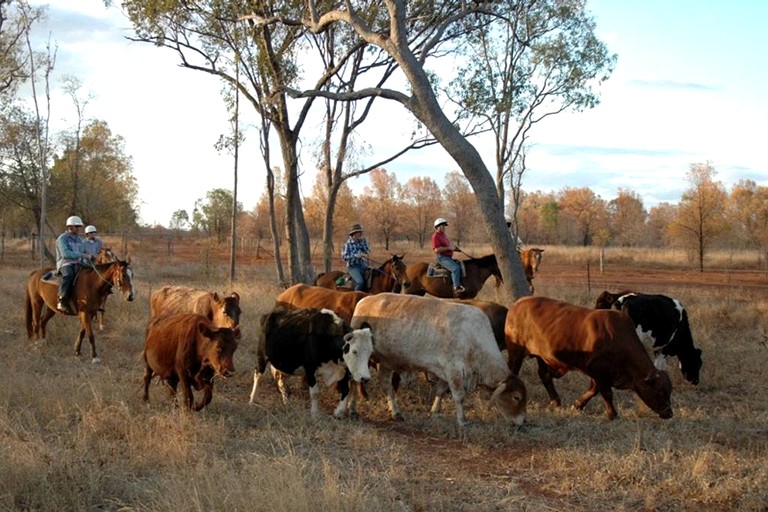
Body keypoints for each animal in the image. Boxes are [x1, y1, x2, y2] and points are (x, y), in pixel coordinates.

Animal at [352, 292, 528, 428]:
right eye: (516, 397)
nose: (523, 422)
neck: (475, 340)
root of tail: (365, 300)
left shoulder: (445, 372)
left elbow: (440, 391)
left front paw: (435, 411)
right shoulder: (454, 370)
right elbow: (459, 396)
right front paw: (462, 421)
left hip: (387, 362)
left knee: (386, 385)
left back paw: (395, 412)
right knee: (364, 382)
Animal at [508, 296, 676, 420]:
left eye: (669, 391)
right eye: (659, 392)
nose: (669, 413)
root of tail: (518, 303)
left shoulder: (601, 374)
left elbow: (594, 391)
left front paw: (578, 405)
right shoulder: (598, 370)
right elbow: (605, 392)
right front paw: (612, 414)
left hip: (542, 356)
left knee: (545, 376)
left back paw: (555, 401)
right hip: (516, 352)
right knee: (513, 372)